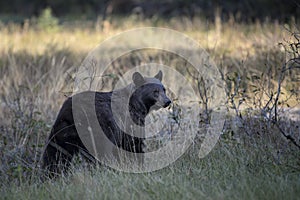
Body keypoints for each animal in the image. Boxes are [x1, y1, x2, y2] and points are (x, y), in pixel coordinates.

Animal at [43, 70, 172, 177]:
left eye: (164, 89)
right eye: (155, 91)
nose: (167, 101)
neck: (136, 104)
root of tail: (74, 112)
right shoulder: (129, 122)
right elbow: (134, 144)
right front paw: (138, 167)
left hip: (62, 127)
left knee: (56, 152)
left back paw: (51, 175)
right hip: (98, 129)